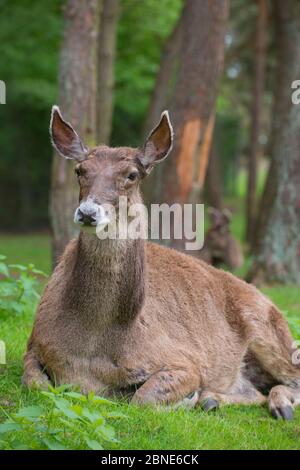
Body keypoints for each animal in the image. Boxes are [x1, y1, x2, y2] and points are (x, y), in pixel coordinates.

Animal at [22, 105, 300, 418]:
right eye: (80, 170)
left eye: (132, 175)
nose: (88, 212)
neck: (91, 344)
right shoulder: (34, 345)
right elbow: (35, 383)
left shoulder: (185, 360)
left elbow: (142, 400)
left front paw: (186, 398)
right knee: (254, 390)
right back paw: (214, 400)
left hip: (271, 330)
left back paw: (278, 405)